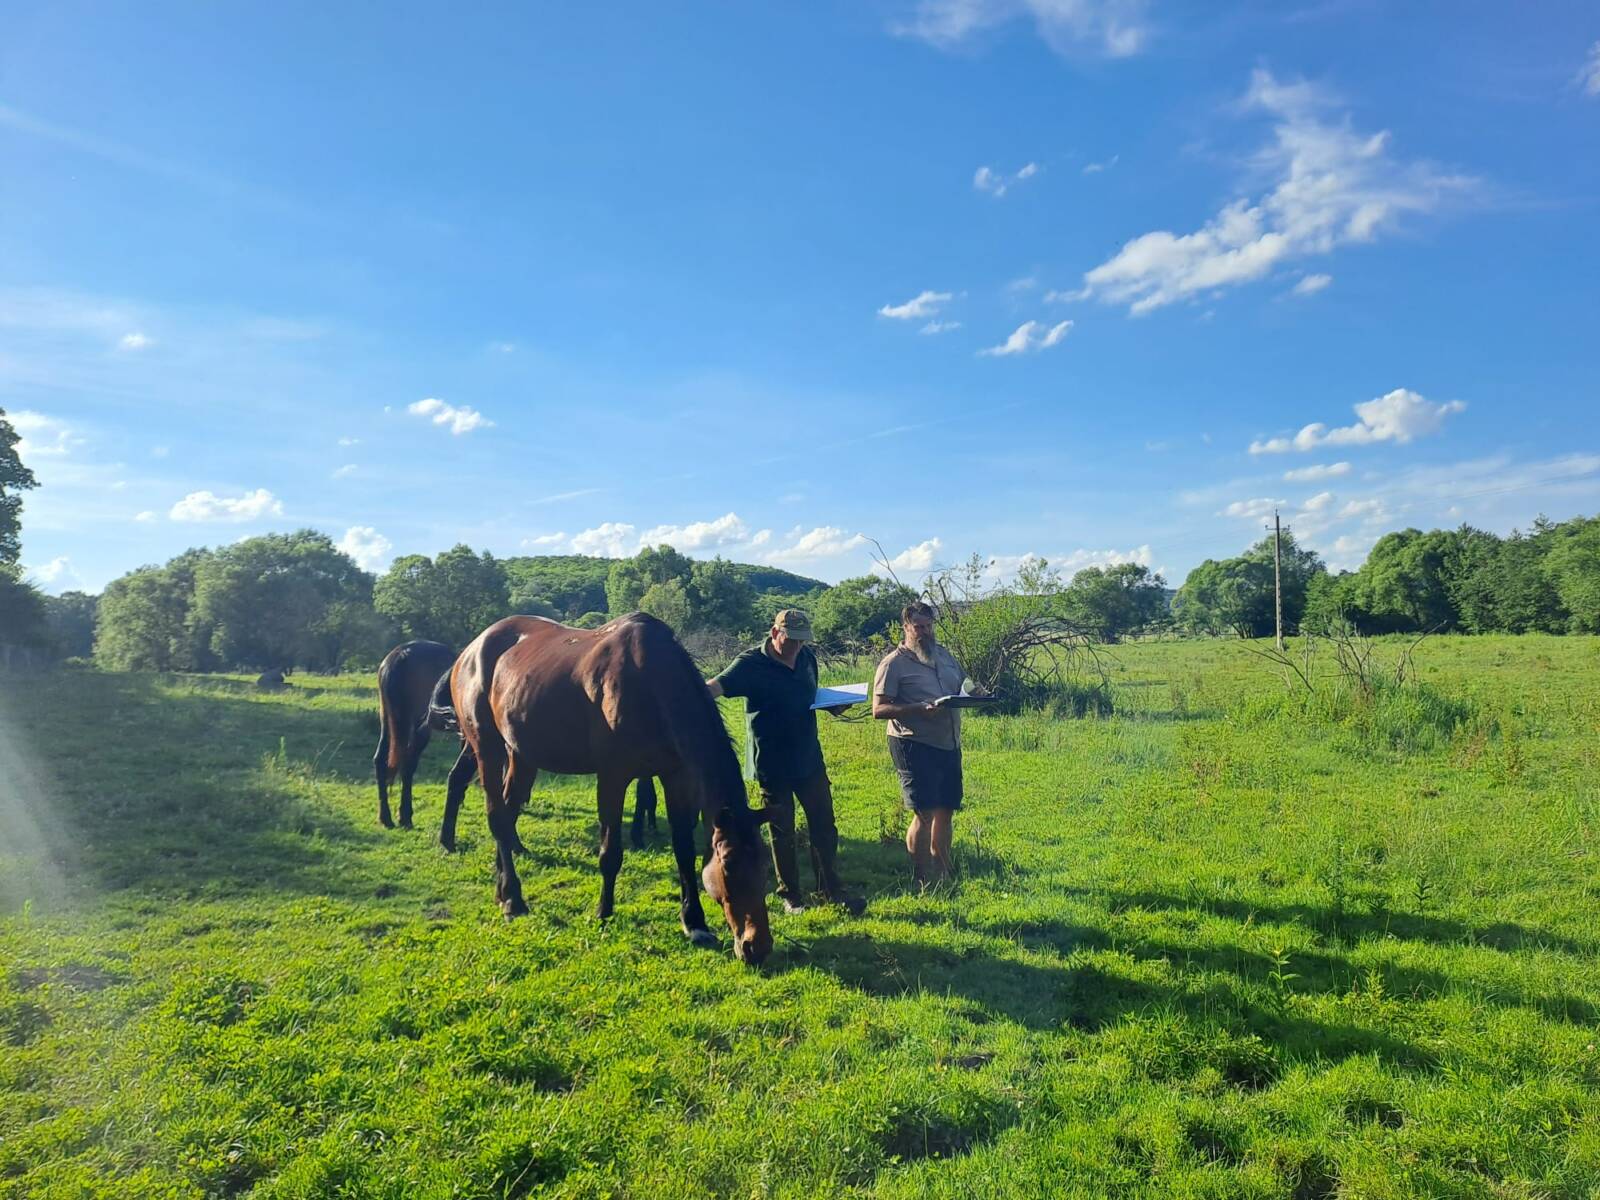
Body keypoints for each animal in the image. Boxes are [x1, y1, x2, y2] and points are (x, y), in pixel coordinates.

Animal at [451, 614, 774, 966]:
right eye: (728, 864)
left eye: (764, 862)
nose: (757, 946)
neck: (650, 682)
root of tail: (470, 650)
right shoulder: (612, 778)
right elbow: (610, 853)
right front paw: (603, 912)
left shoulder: (675, 776)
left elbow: (684, 851)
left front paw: (695, 923)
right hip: (487, 748)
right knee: (498, 818)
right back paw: (513, 899)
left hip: (521, 755)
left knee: (509, 815)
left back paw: (502, 888)